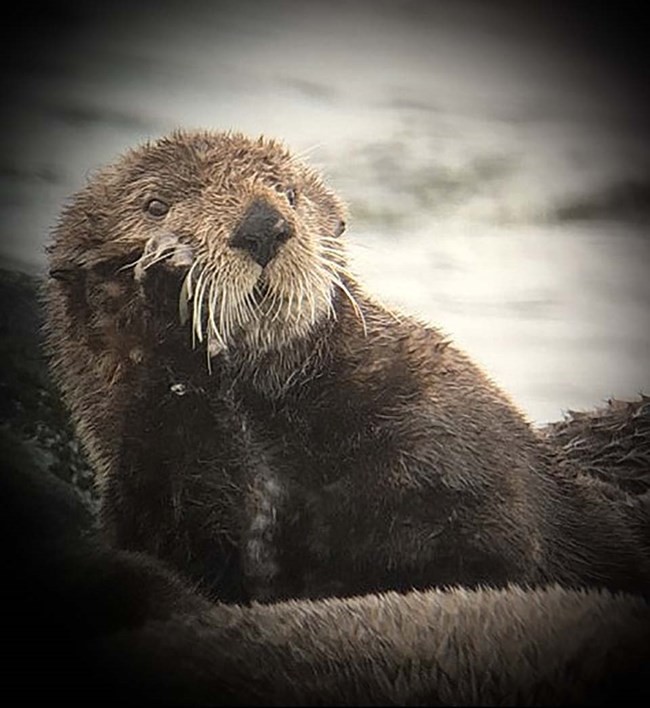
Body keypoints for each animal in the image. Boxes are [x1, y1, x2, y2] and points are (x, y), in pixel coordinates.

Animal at [45, 129, 650, 602]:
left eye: (288, 193)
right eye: (156, 206)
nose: (263, 224)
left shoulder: (446, 434)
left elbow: (493, 541)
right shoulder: (157, 491)